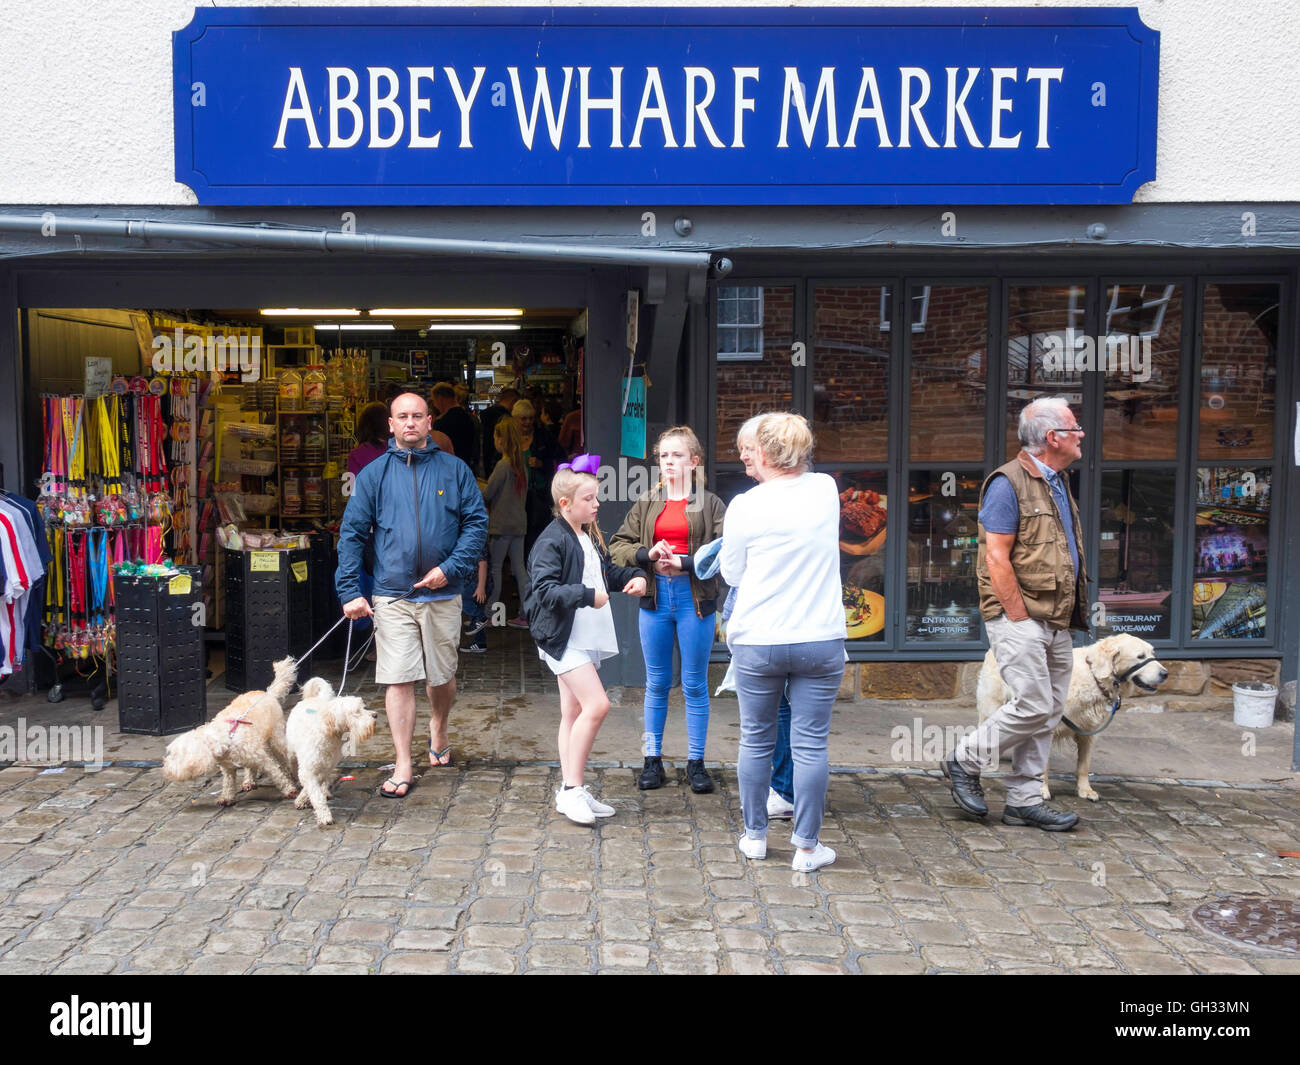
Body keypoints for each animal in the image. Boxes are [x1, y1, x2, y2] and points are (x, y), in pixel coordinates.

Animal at [162, 652, 299, 806]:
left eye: (175, 755)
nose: (164, 769)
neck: (226, 739)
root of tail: (268, 693)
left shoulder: (264, 760)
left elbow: (277, 775)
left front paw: (290, 790)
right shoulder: (228, 768)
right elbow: (228, 783)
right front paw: (226, 798)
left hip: (276, 739)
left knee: (283, 758)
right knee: (250, 767)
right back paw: (249, 781)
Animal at [287, 681, 379, 827]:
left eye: (364, 707)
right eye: (357, 711)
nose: (375, 715)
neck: (328, 732)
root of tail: (315, 698)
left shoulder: (322, 769)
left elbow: (314, 789)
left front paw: (303, 799)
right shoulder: (308, 770)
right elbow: (315, 793)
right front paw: (324, 815)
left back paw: (325, 791)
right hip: (293, 754)